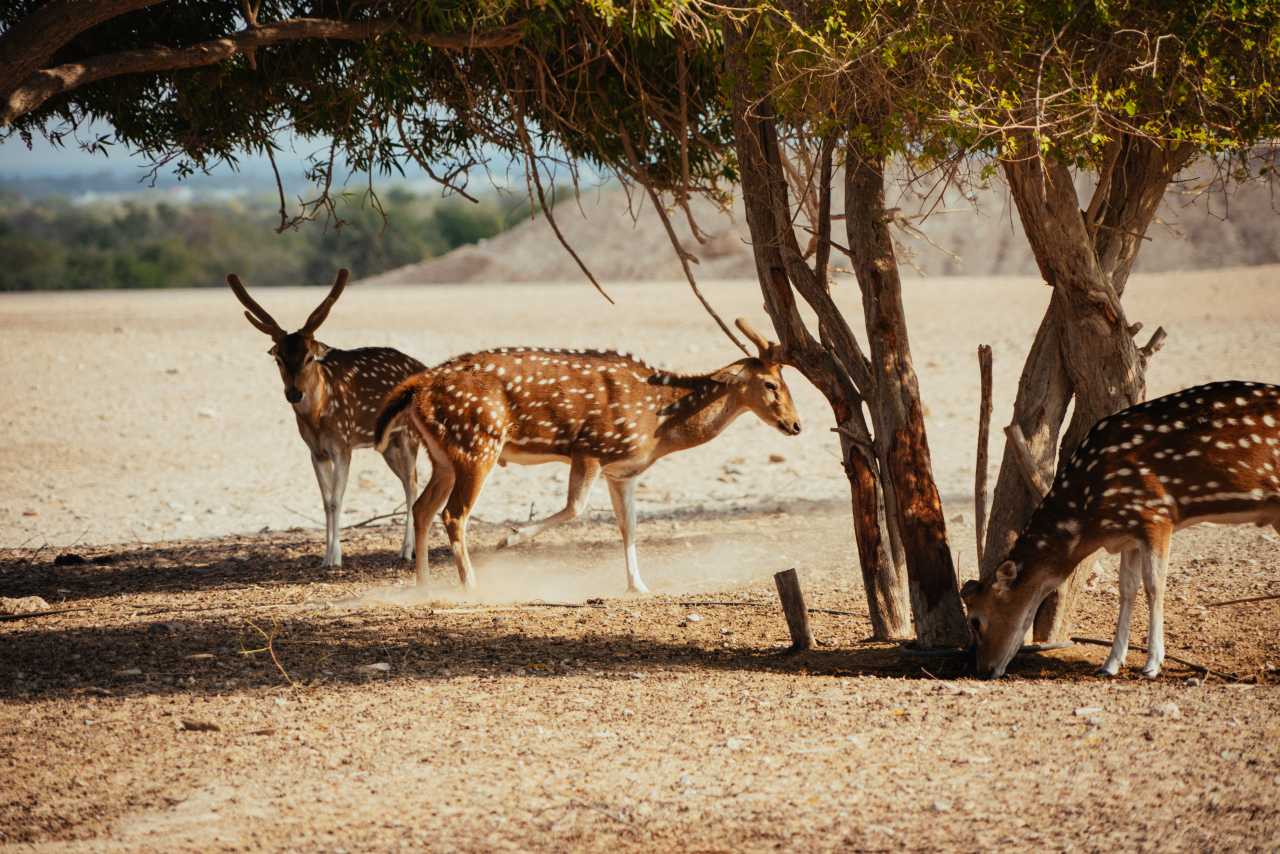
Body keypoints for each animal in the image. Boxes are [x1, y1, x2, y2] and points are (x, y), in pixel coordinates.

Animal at [227, 268, 427, 568]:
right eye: (279, 359)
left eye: (310, 357)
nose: (294, 393)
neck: (318, 418)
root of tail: (424, 367)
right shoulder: (315, 451)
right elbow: (324, 501)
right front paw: (325, 557)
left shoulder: (343, 444)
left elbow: (336, 499)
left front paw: (336, 558)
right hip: (387, 446)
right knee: (408, 482)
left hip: (408, 435)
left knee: (413, 485)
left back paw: (406, 551)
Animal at [373, 320, 803, 594]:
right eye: (770, 383)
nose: (795, 424)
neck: (658, 424)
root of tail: (417, 386)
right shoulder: (590, 448)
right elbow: (576, 508)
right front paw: (510, 537)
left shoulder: (622, 471)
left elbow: (629, 526)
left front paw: (638, 585)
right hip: (477, 443)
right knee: (453, 513)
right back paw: (472, 584)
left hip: (442, 454)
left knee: (423, 507)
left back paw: (424, 585)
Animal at [962, 381, 1280, 681]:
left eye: (976, 620)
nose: (983, 669)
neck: (1090, 515)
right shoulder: (1129, 534)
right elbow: (1127, 589)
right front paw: (1111, 664)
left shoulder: (1156, 513)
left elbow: (1155, 586)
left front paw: (1152, 665)